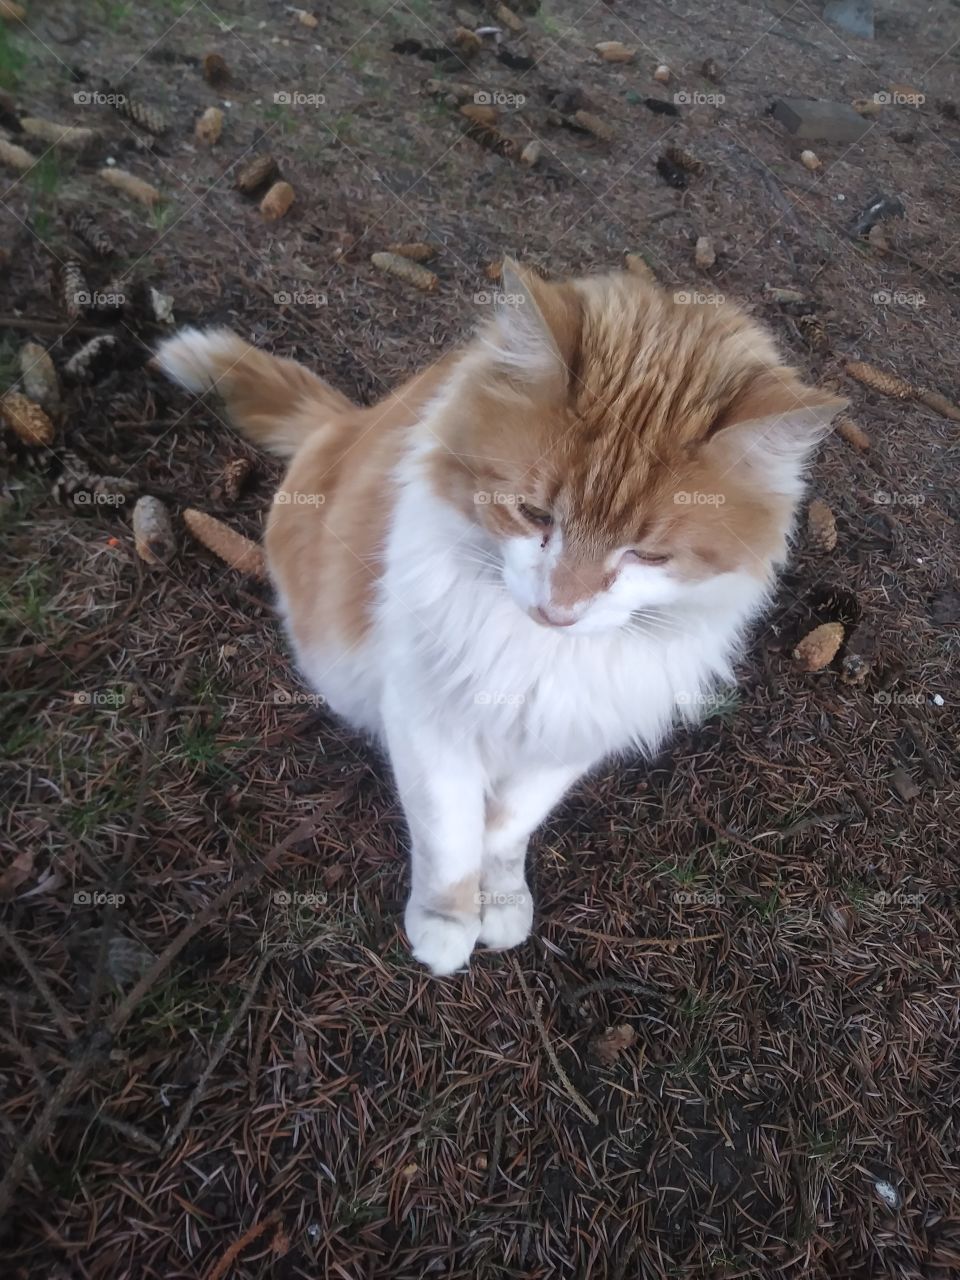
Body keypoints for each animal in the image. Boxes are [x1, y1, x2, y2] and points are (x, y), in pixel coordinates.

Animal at [154, 264, 844, 972]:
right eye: (534, 514)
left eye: (648, 555)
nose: (559, 611)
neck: (541, 654)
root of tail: (344, 423)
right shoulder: (428, 719)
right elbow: (452, 835)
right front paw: (446, 923)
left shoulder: (568, 738)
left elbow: (506, 828)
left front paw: (504, 900)